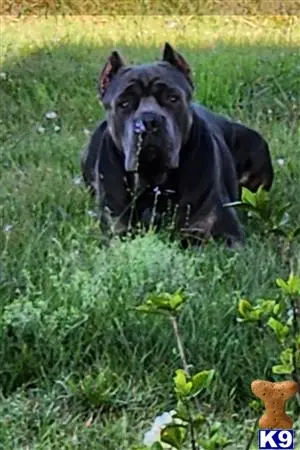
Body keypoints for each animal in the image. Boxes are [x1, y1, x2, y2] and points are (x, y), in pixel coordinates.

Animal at [81, 42, 274, 248]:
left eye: (172, 98)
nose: (149, 121)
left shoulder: (225, 232)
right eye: (124, 103)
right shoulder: (119, 231)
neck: (155, 183)